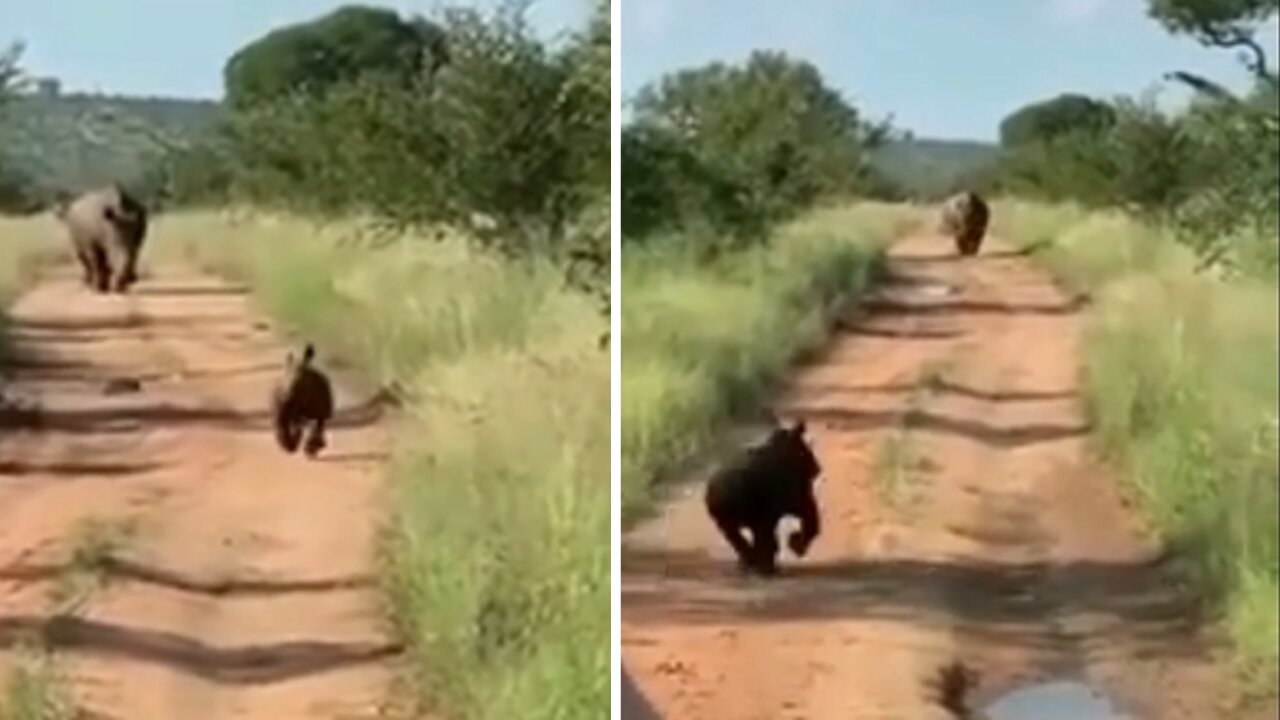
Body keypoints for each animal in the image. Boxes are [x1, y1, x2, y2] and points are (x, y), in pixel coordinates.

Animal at [706, 417, 824, 573]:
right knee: (756, 537)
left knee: (738, 538)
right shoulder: (799, 499)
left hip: (730, 519)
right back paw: (762, 567)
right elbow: (813, 522)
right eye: (805, 451)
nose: (818, 469)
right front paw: (796, 545)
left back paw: (752, 564)